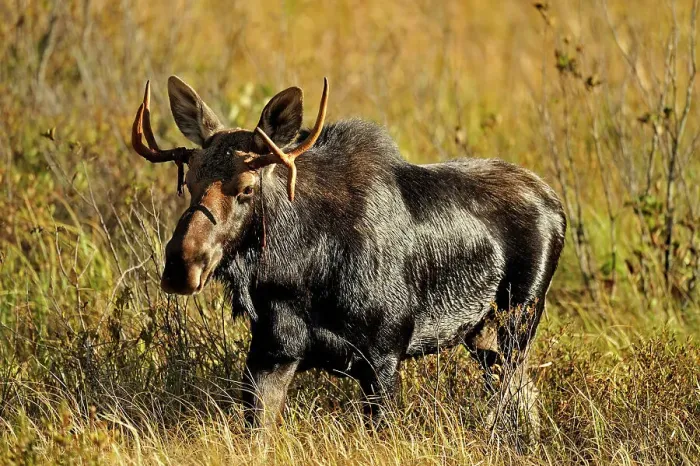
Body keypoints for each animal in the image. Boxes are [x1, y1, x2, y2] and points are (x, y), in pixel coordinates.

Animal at [129, 76, 566, 433]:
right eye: (189, 181)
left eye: (247, 188)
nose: (181, 265)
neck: (298, 273)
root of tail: (556, 205)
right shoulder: (271, 352)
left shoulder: (384, 355)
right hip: (484, 335)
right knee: (526, 398)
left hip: (519, 318)